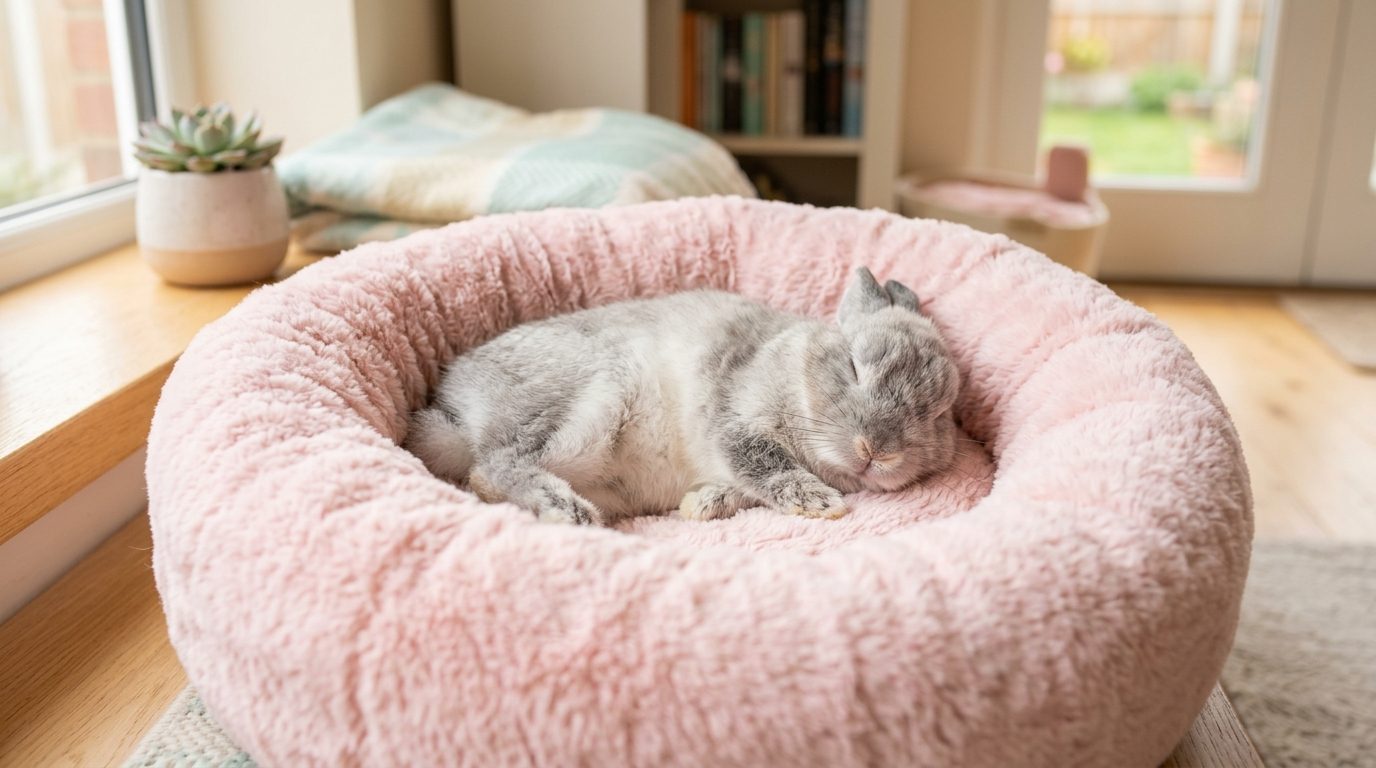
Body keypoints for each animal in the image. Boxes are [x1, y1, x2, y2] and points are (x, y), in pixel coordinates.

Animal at [405, 267, 961, 526]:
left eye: (938, 412)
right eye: (853, 366)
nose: (878, 451)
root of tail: (455, 409)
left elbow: (740, 487)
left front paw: (699, 505)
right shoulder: (734, 422)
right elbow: (764, 463)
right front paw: (822, 504)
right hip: (580, 407)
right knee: (496, 465)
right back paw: (571, 512)